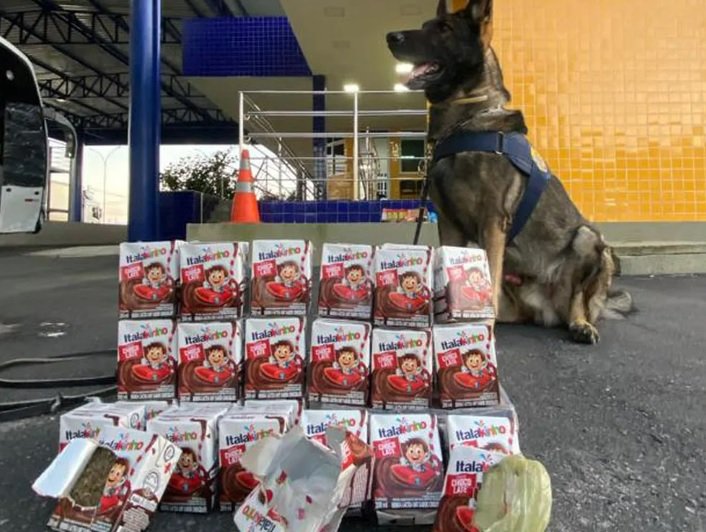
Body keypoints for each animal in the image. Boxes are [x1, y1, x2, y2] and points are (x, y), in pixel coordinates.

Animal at [388, 0, 628, 342]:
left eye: (444, 29)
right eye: (424, 25)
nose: (390, 37)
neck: (466, 121)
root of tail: (548, 311)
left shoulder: (493, 220)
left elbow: (489, 269)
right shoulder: (449, 223)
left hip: (590, 240)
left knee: (578, 299)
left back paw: (580, 323)